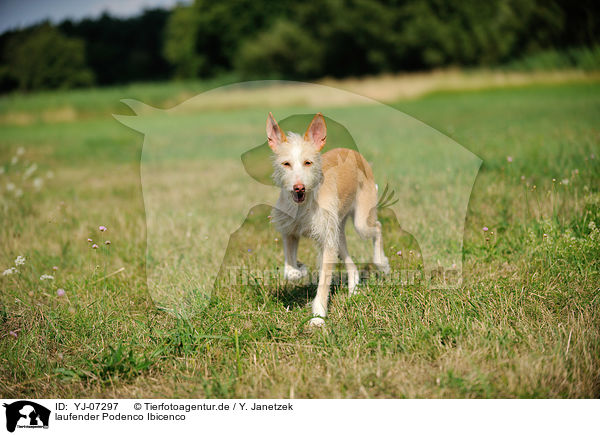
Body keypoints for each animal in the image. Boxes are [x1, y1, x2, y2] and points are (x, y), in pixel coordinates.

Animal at [266, 110, 390, 326]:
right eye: (286, 164)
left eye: (308, 162)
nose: (299, 187)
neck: (304, 205)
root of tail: (354, 152)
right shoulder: (290, 232)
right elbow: (289, 270)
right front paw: (300, 269)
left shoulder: (327, 243)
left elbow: (324, 281)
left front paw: (318, 318)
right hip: (338, 234)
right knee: (352, 266)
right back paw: (353, 292)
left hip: (360, 222)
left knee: (378, 228)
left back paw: (381, 262)